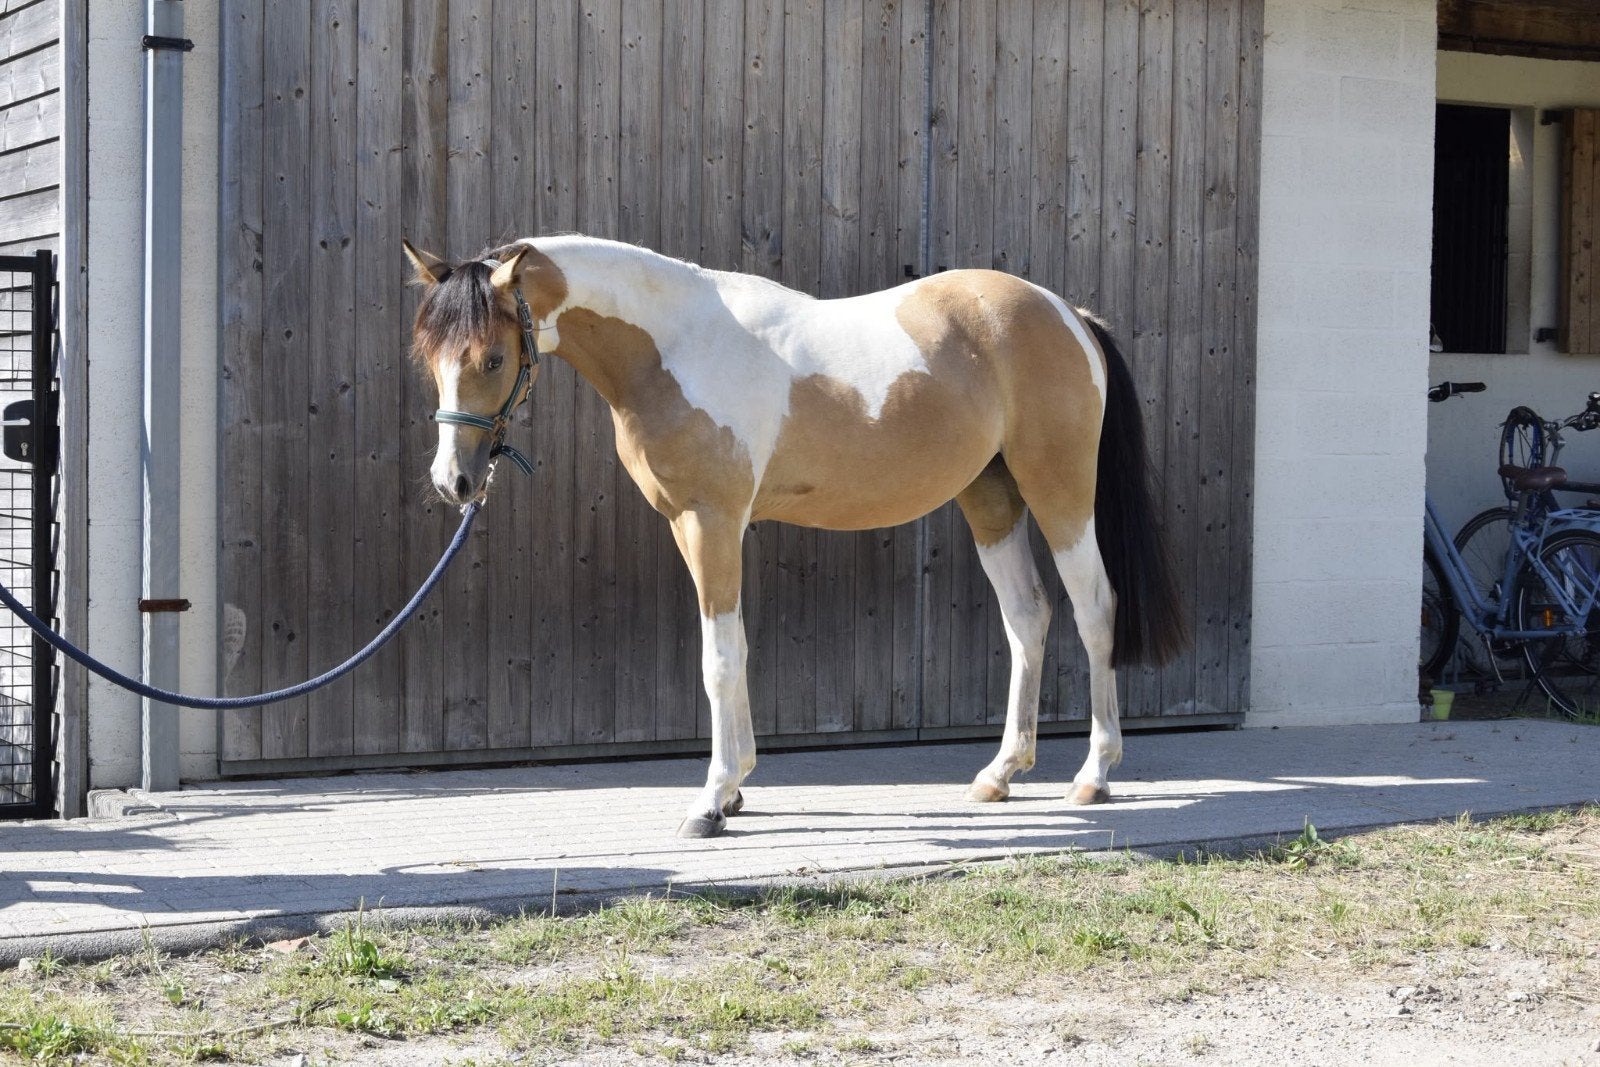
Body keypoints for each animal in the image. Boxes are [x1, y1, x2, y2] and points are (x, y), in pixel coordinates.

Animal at [402, 234, 1187, 838]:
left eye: (493, 358)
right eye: (431, 360)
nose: (454, 482)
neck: (675, 345)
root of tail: (1067, 315)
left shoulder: (711, 521)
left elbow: (718, 660)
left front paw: (710, 802)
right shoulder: (696, 528)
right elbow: (740, 648)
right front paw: (737, 789)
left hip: (1059, 491)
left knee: (1094, 611)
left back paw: (1093, 775)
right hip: (990, 496)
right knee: (1028, 617)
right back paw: (999, 774)